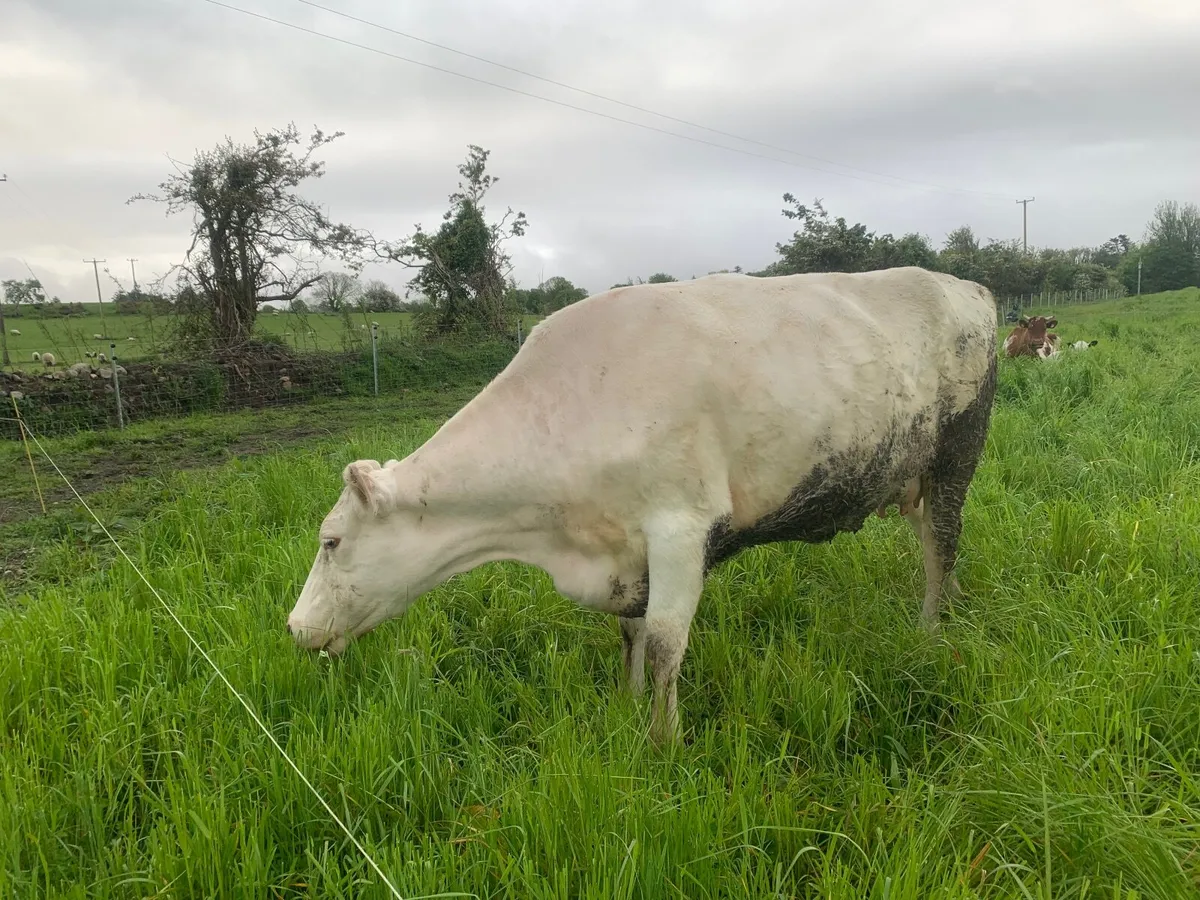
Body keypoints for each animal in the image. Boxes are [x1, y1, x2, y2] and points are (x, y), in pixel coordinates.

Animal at [287, 266, 999, 746]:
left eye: (331, 541)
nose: (294, 628)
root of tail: (965, 285)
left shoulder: (681, 528)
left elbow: (662, 644)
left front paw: (664, 741)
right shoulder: (625, 550)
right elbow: (629, 635)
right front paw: (627, 712)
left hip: (957, 453)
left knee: (943, 541)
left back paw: (931, 631)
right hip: (911, 473)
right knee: (934, 539)